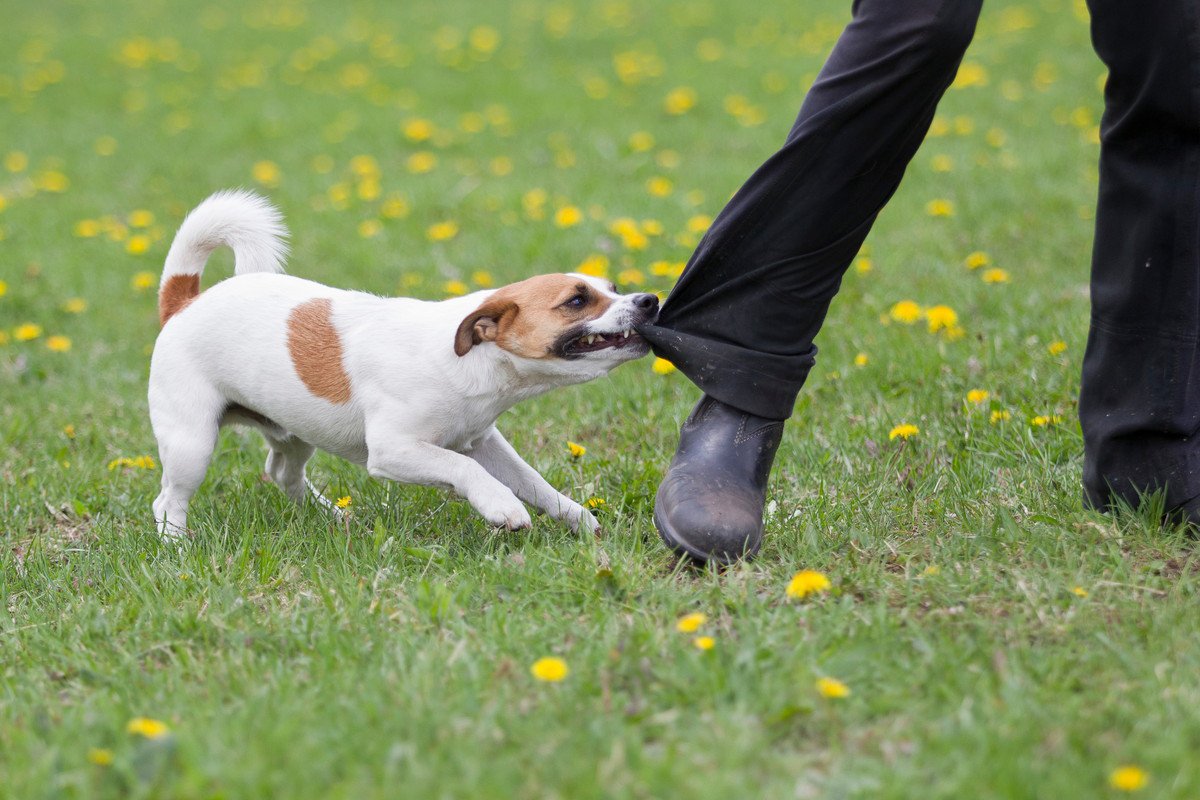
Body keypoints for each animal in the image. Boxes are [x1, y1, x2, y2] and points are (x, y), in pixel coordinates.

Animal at [147, 190, 667, 537]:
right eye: (576, 301)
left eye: (613, 289)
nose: (650, 301)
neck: (468, 363)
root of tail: (184, 301)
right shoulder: (395, 450)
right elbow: (463, 469)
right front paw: (501, 506)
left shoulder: (484, 443)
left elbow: (533, 482)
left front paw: (576, 517)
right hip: (192, 443)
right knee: (167, 499)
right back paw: (177, 547)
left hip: (294, 432)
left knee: (282, 474)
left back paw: (330, 516)